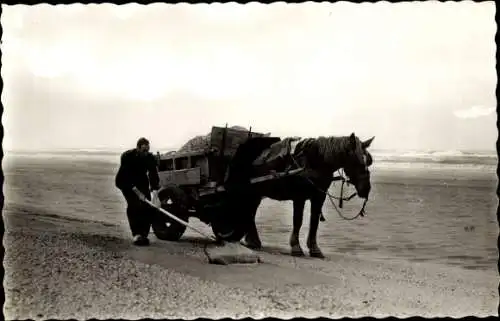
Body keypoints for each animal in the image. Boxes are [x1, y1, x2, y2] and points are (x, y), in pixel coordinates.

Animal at [225, 132, 374, 258]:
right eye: (357, 161)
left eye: (368, 161)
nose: (366, 189)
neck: (314, 161)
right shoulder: (299, 197)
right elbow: (298, 221)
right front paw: (296, 247)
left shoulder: (319, 197)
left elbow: (314, 221)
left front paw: (314, 249)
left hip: (255, 193)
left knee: (250, 213)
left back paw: (253, 241)